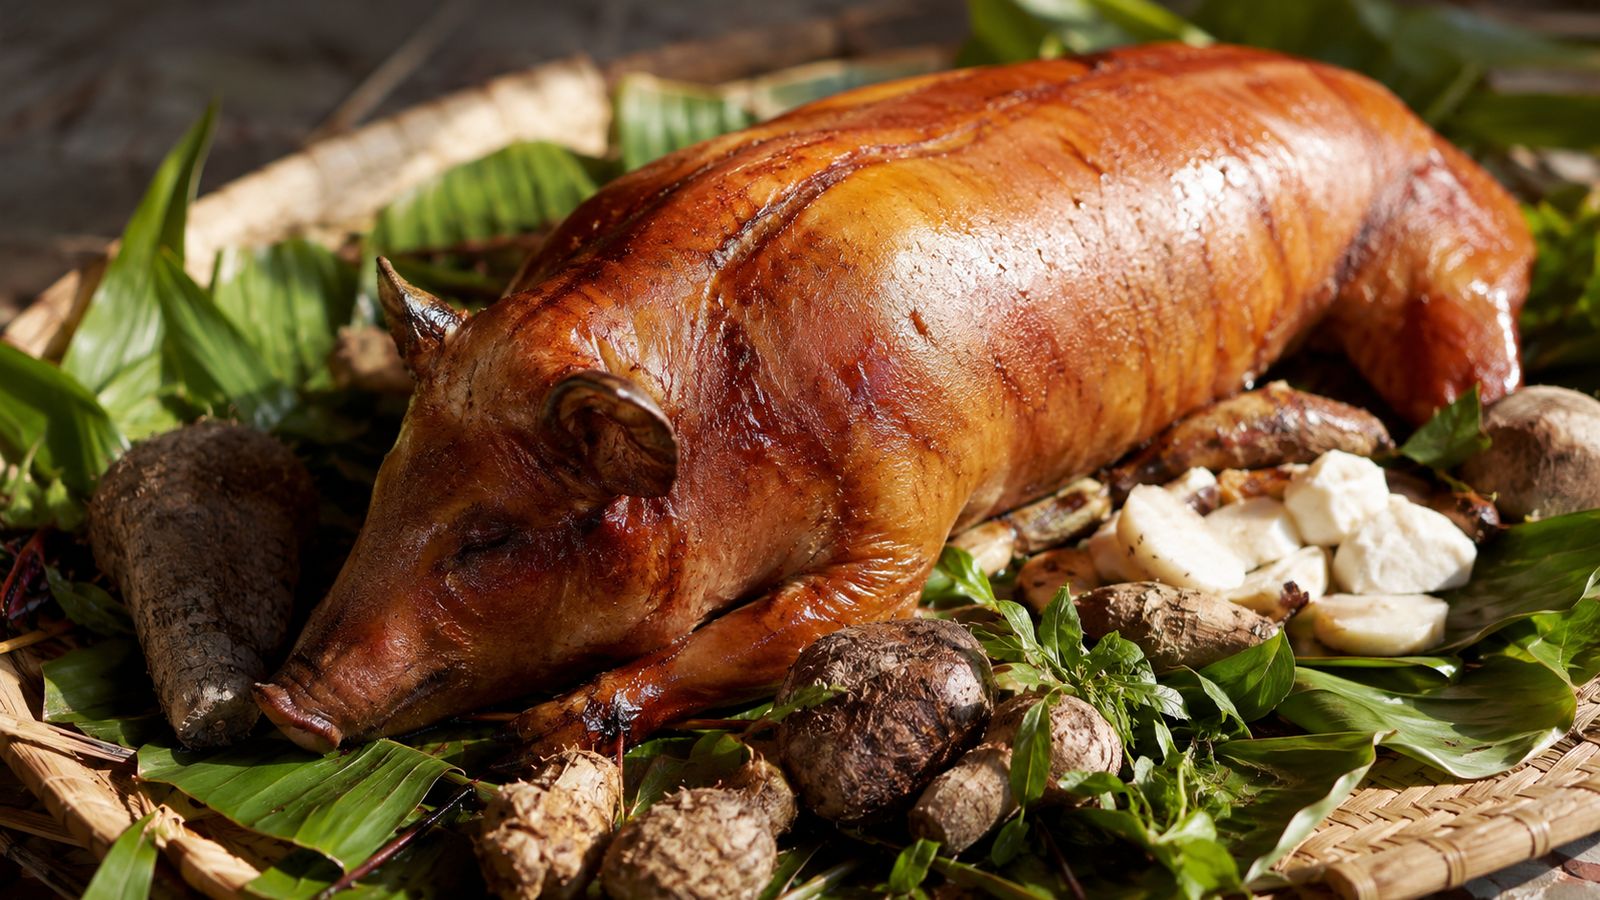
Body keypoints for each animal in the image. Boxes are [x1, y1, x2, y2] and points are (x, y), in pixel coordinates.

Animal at [255, 43, 1530, 757]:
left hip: (1435, 263)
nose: (284, 707)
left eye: (490, 539)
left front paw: (550, 727)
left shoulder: (902, 504)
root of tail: (1422, 120)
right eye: (381, 486)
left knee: (1478, 377)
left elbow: (794, 627)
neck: (724, 396)